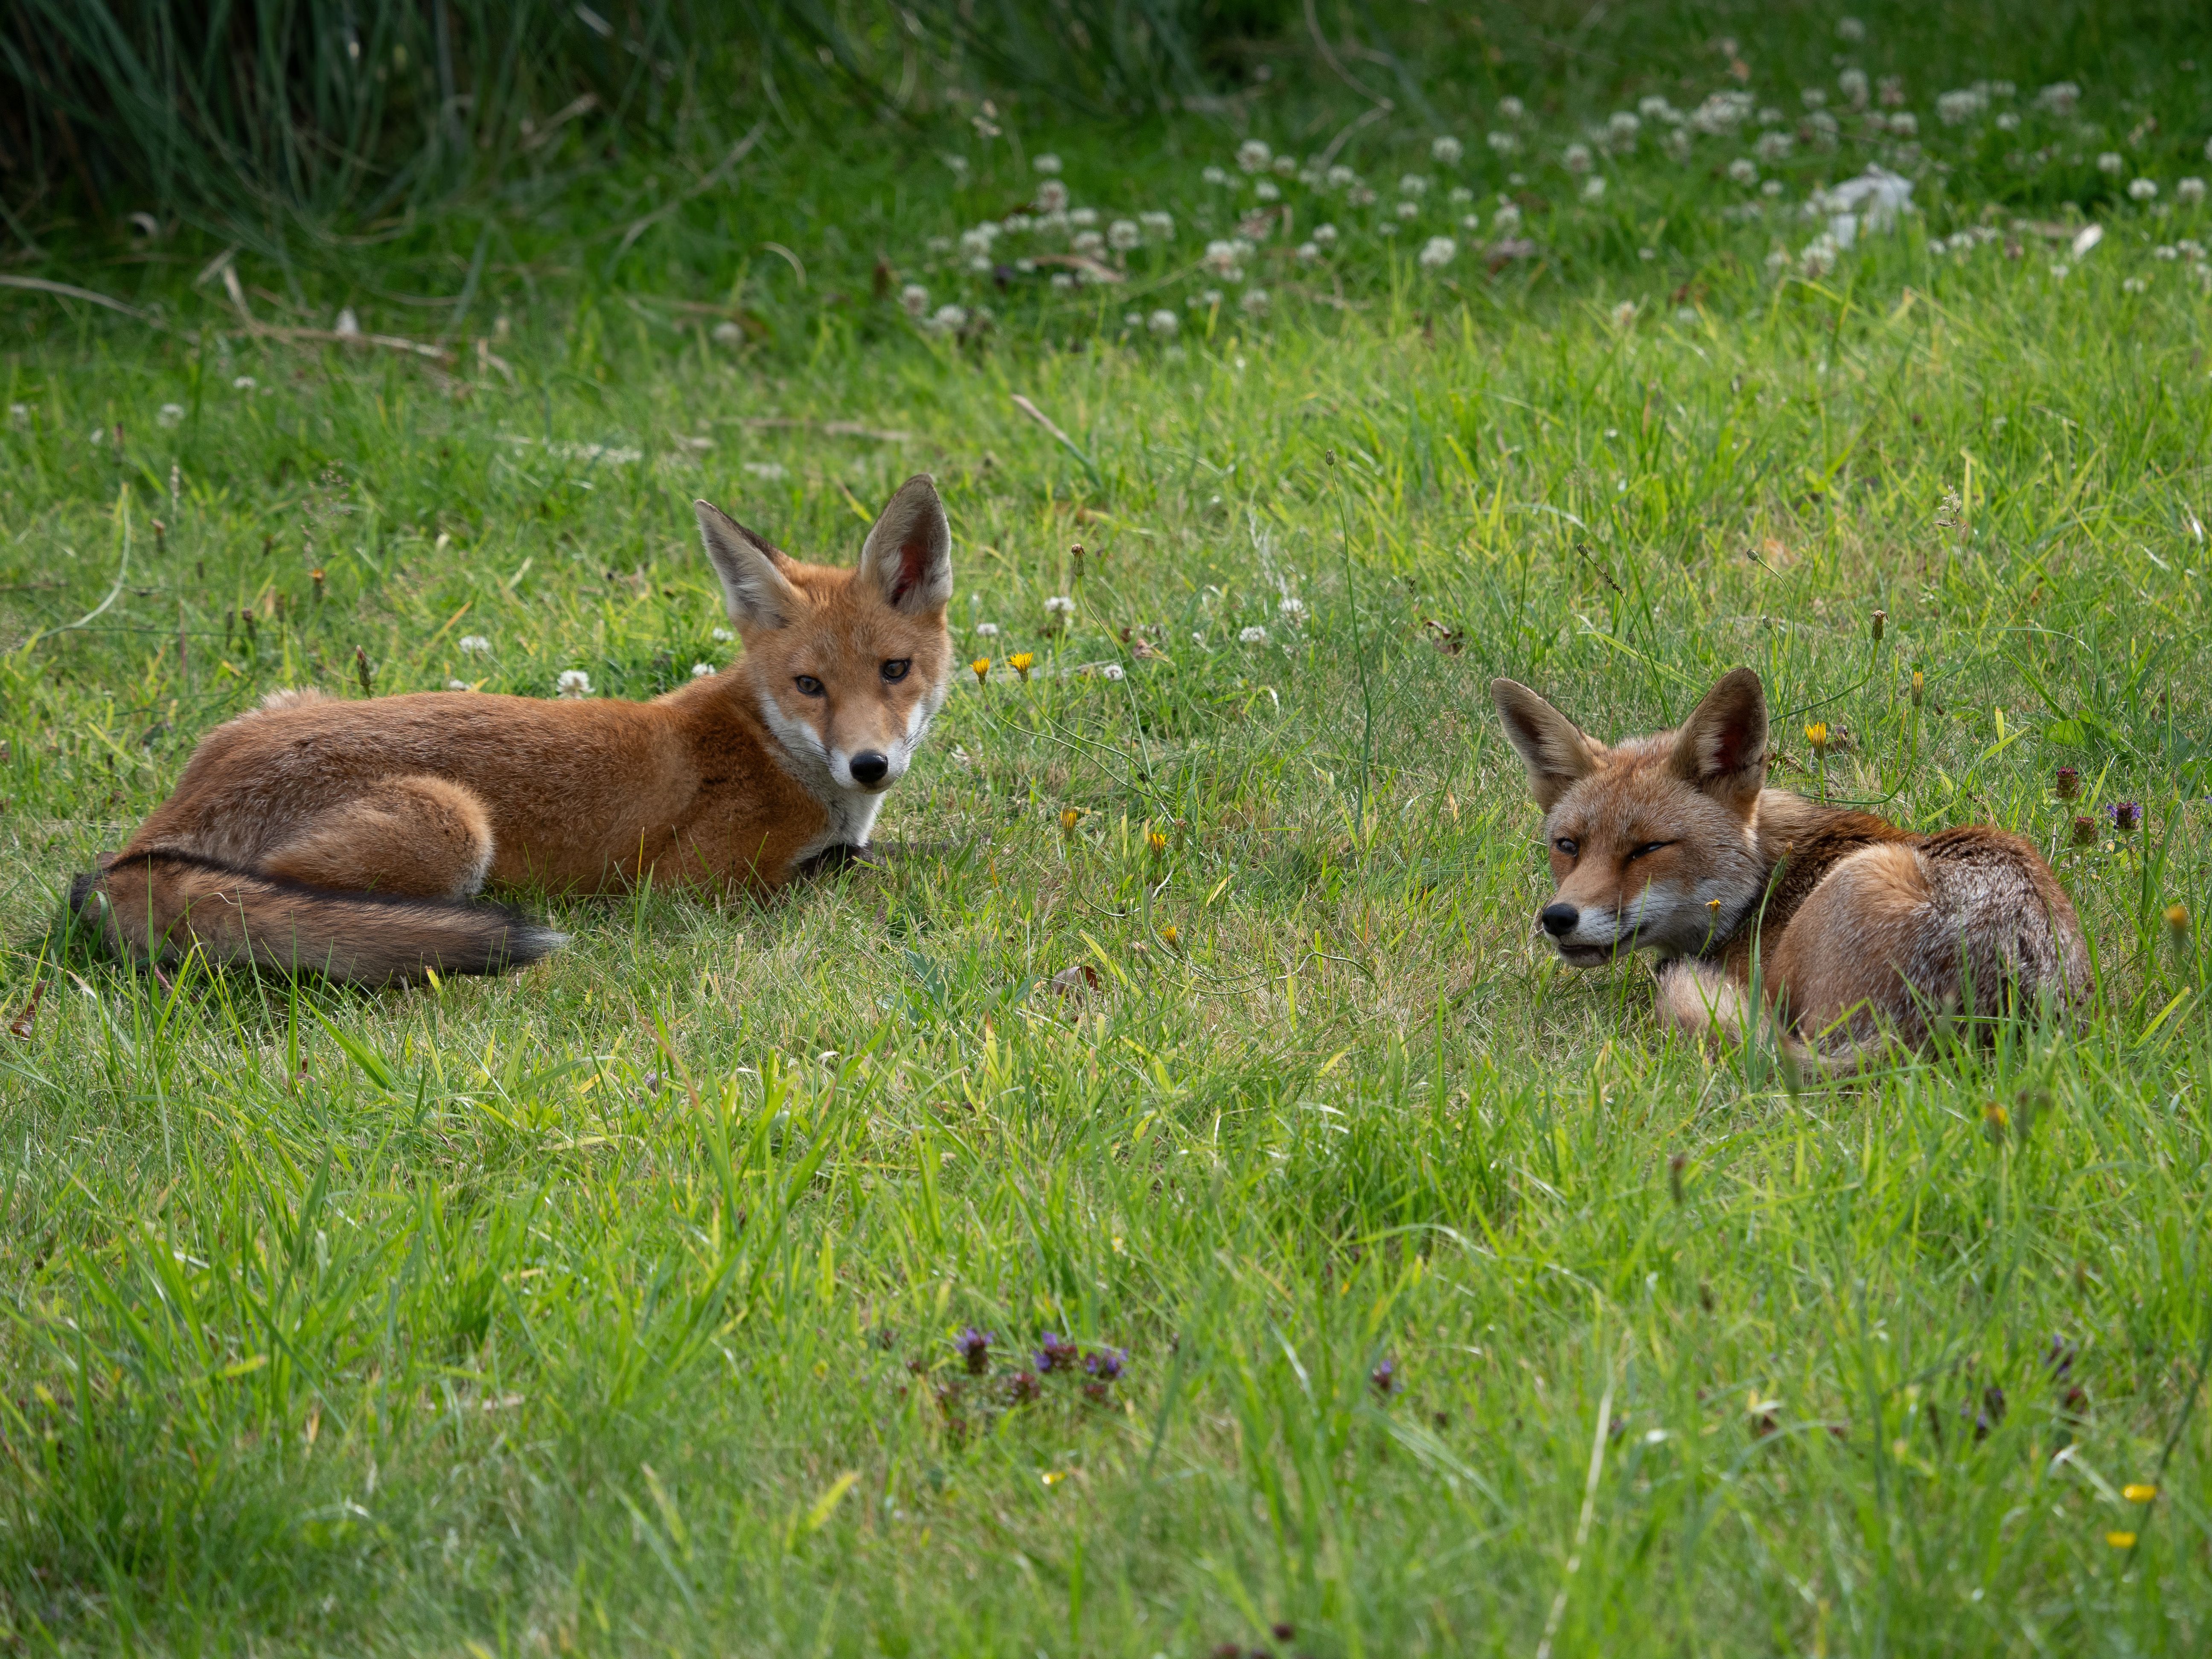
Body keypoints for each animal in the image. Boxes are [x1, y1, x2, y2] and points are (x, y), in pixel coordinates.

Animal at [67, 474, 955, 985]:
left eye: (893, 670)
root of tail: (133, 852)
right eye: (809, 686)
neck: (768, 742)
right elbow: (863, 868)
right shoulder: (694, 886)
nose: (869, 765)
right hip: (448, 825)